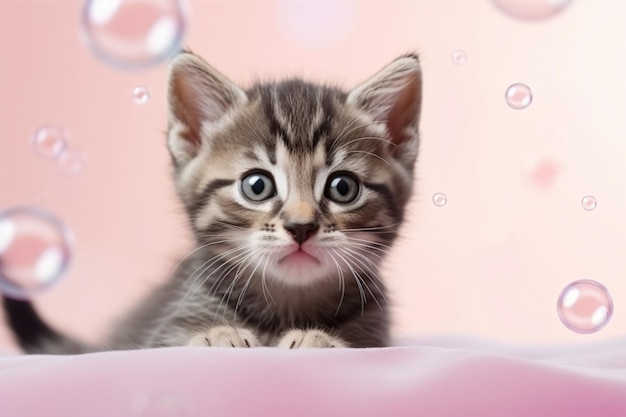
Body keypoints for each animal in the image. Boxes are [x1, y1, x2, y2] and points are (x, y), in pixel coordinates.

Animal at [2, 50, 422, 352]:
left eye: (342, 188)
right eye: (257, 185)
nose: (301, 227)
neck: (287, 305)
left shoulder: (376, 331)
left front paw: (318, 338)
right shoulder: (160, 332)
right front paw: (220, 334)